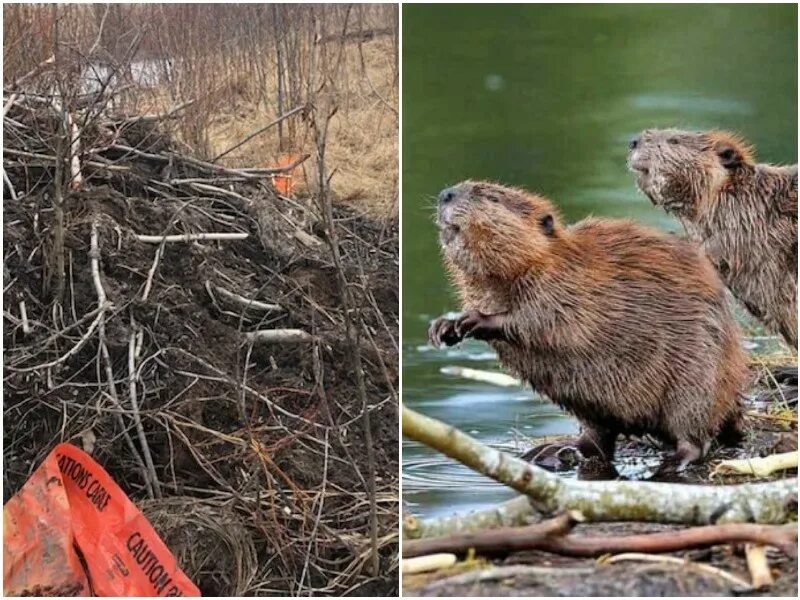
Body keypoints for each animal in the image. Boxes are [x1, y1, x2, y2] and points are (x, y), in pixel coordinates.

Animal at [428, 180, 748, 472]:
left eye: (492, 197)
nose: (446, 194)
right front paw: (443, 327)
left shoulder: (565, 285)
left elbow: (542, 320)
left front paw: (475, 319)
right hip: (589, 406)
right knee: (598, 440)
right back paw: (549, 451)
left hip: (696, 378)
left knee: (694, 434)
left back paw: (673, 462)